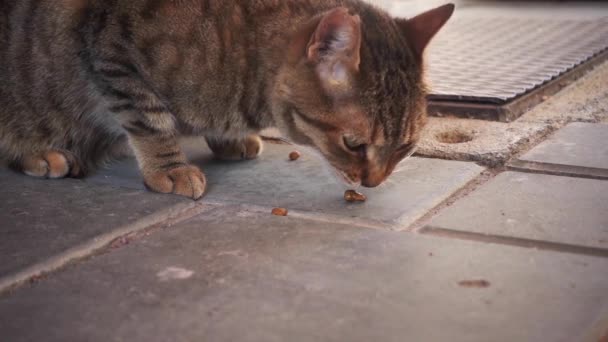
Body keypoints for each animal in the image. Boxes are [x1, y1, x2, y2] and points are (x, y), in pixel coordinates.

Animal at [0, 0, 452, 199]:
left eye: (406, 148)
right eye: (353, 144)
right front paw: (170, 167)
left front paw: (229, 140)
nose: (373, 183)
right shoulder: (112, 50)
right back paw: (42, 153)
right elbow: (151, 120)